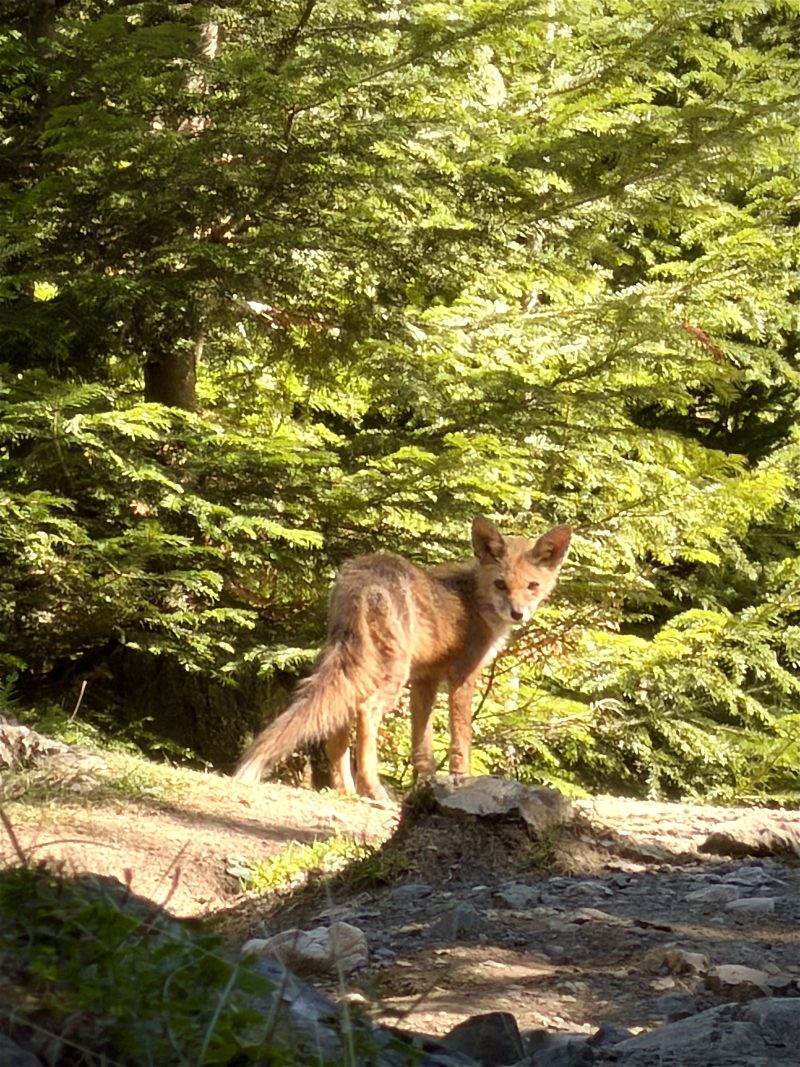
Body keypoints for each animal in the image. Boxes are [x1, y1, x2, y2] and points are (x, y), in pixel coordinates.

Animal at [234, 517, 572, 800]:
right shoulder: (461, 675)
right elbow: (461, 739)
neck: (474, 599)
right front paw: (462, 780)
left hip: (355, 665)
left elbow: (421, 744)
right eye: (500, 584)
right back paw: (373, 790)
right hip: (392, 672)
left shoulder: (425, 679)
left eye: (532, 586)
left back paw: (347, 791)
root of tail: (363, 575)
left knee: (337, 726)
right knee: (365, 712)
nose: (517, 614)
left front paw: (425, 784)